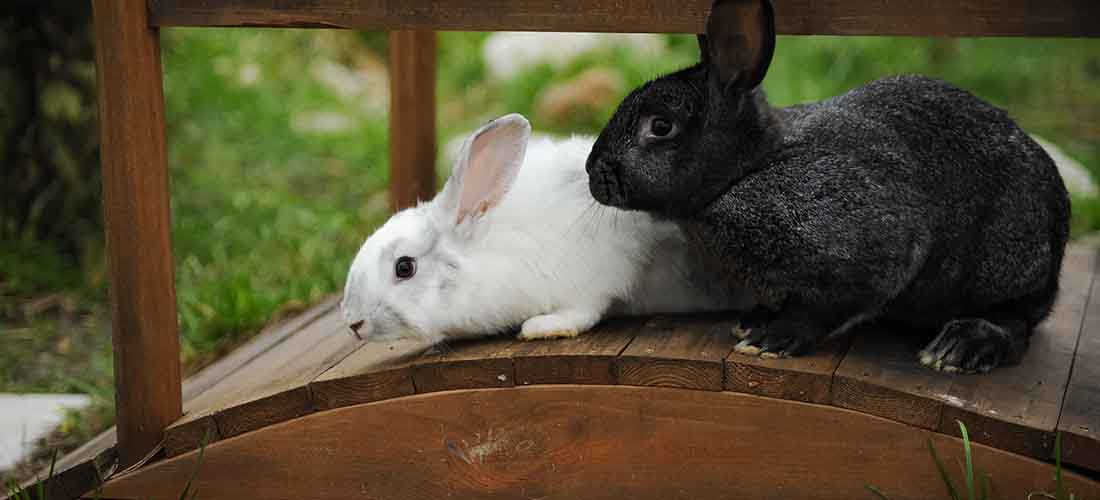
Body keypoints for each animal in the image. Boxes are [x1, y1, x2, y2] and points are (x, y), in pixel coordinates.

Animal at [589, 0, 1069, 373]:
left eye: (661, 126)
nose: (594, 172)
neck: (752, 168)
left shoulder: (873, 253)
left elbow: (825, 306)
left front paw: (772, 339)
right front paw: (755, 321)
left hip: (1004, 266)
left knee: (1018, 322)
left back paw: (961, 347)